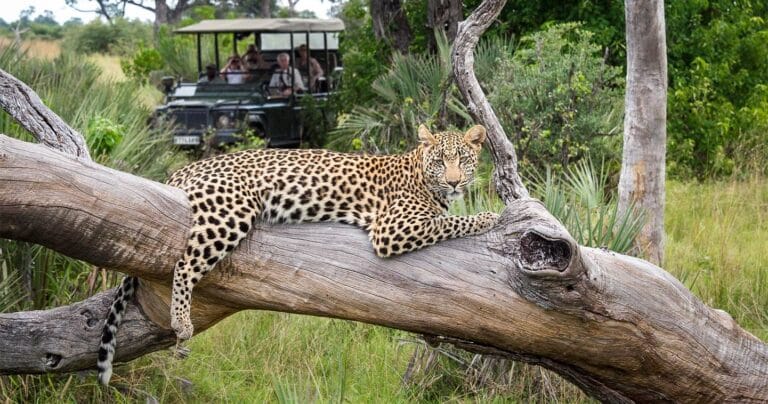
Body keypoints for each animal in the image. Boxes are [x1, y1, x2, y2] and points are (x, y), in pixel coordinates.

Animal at [96, 124, 499, 385]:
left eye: (463, 160)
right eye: (440, 161)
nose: (454, 181)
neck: (421, 173)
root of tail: (187, 167)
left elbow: (448, 218)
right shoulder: (392, 229)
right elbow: (450, 221)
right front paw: (490, 216)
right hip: (232, 210)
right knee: (185, 262)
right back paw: (182, 322)